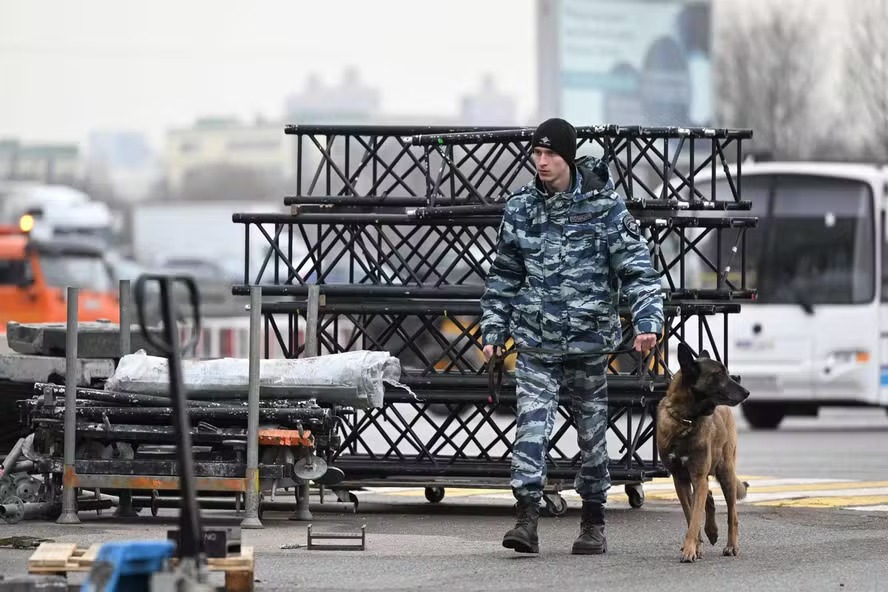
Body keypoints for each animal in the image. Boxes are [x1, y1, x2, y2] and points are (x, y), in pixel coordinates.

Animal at [656, 340, 752, 560]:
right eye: (719, 374)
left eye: (727, 373)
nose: (746, 392)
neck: (686, 420)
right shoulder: (681, 480)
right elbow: (691, 514)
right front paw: (695, 546)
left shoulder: (697, 476)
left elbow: (695, 518)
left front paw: (690, 549)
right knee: (707, 497)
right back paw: (711, 532)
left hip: (726, 473)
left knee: (732, 514)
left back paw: (731, 545)